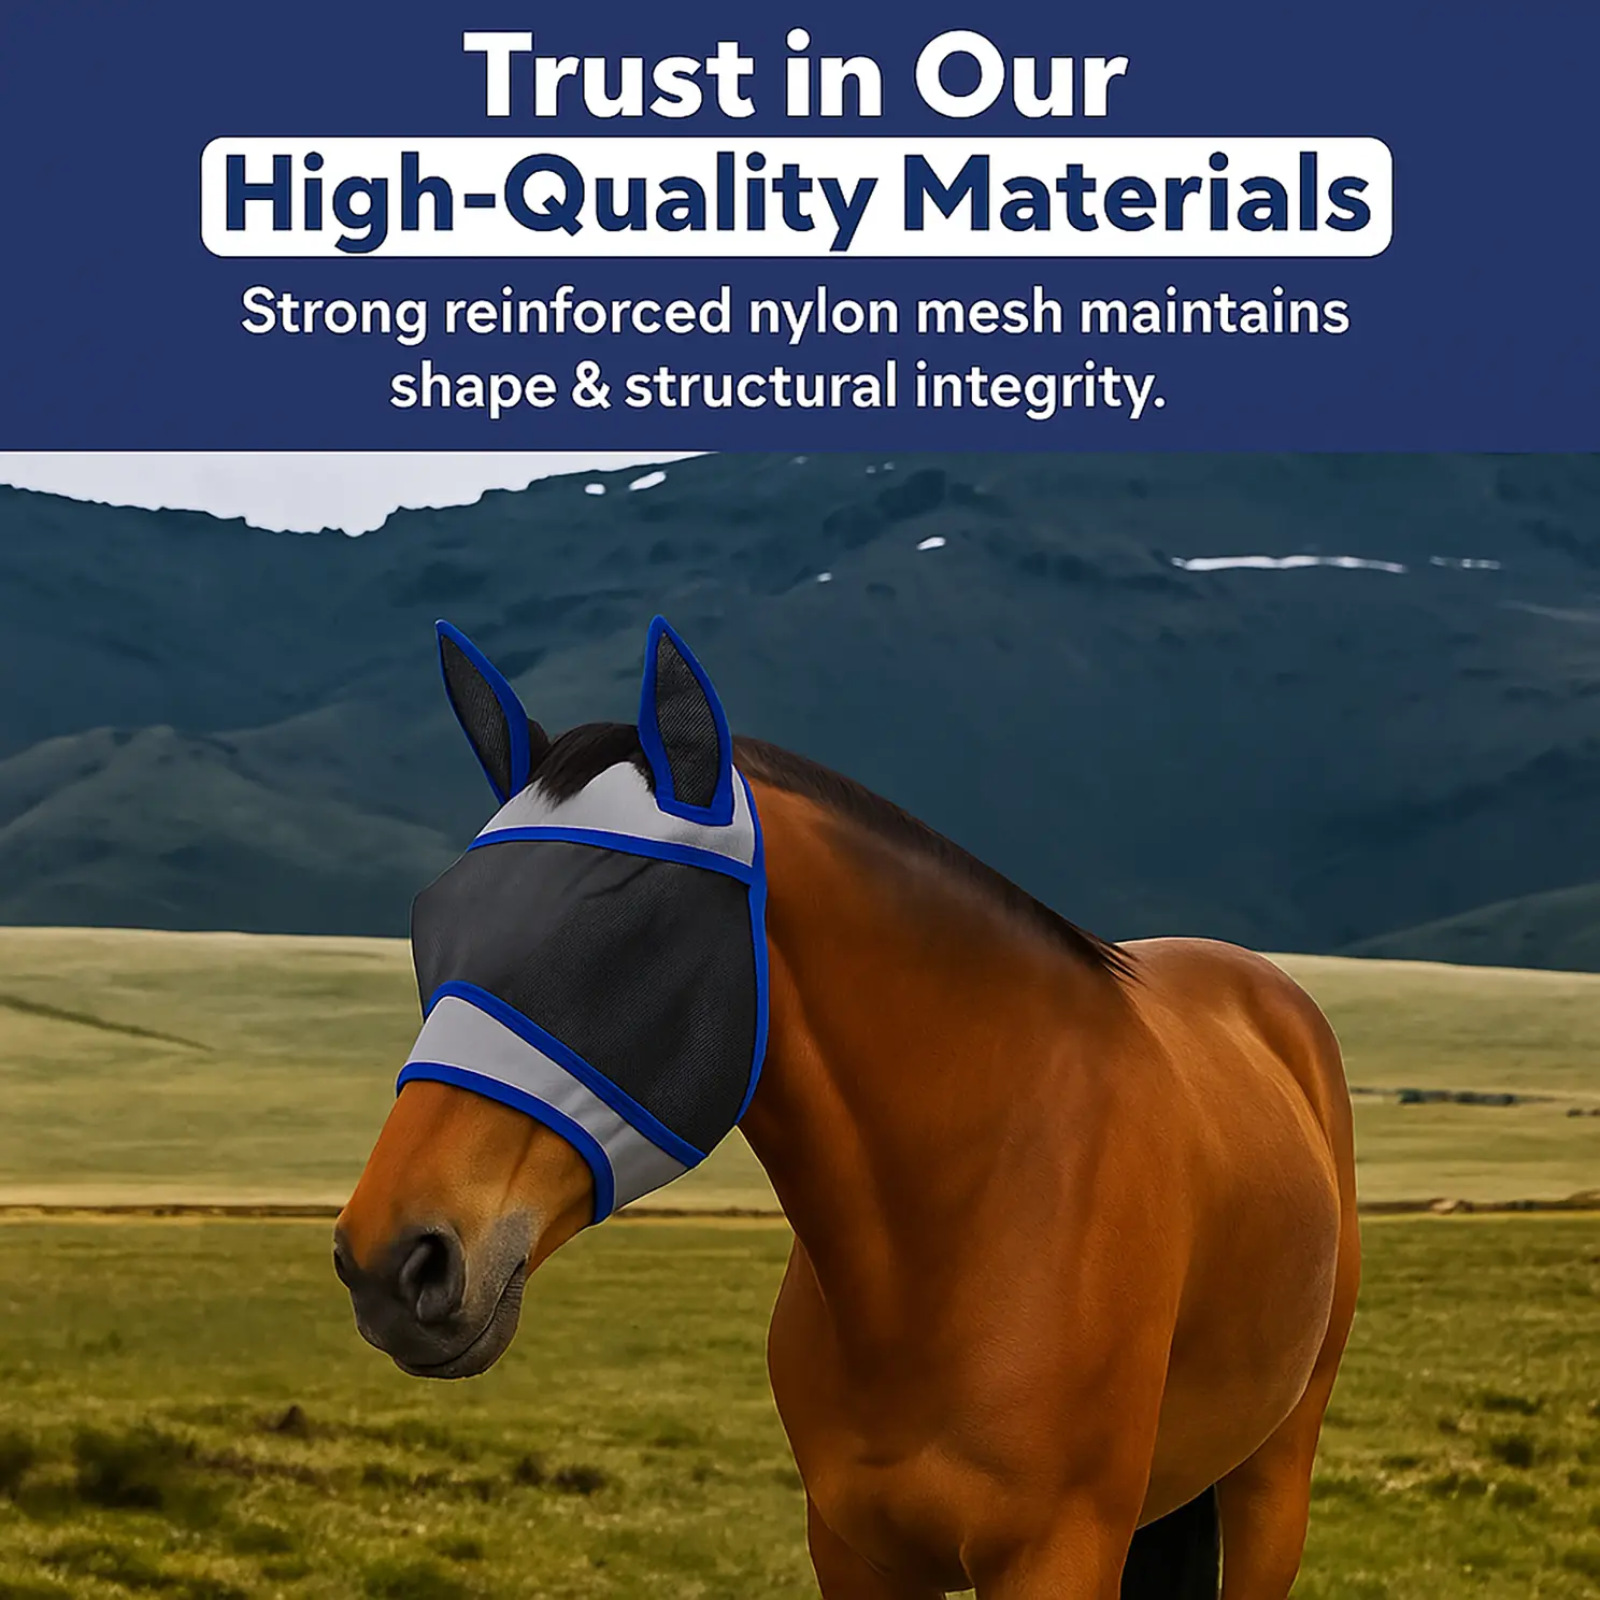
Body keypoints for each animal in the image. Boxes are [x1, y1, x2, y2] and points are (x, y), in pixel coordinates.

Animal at [334, 616, 1360, 1600]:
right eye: (432, 919)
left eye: (632, 923)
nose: (391, 1259)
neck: (955, 1229)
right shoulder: (854, 1551)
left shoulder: (1058, 1552)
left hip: (1274, 1475)